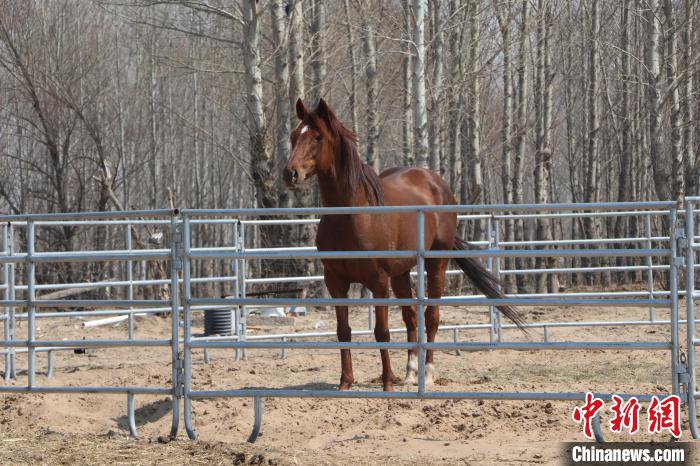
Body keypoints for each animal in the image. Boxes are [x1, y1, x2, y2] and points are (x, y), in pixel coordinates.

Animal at [284, 99, 524, 394]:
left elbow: (382, 332)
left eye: (317, 137)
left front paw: (387, 383)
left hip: (435, 265)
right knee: (411, 317)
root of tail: (436, 183)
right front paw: (345, 383)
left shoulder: (378, 282)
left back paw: (427, 373)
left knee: (431, 317)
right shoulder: (335, 281)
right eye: (294, 135)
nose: (290, 173)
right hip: (400, 273)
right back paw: (411, 373)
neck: (353, 215)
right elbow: (344, 331)